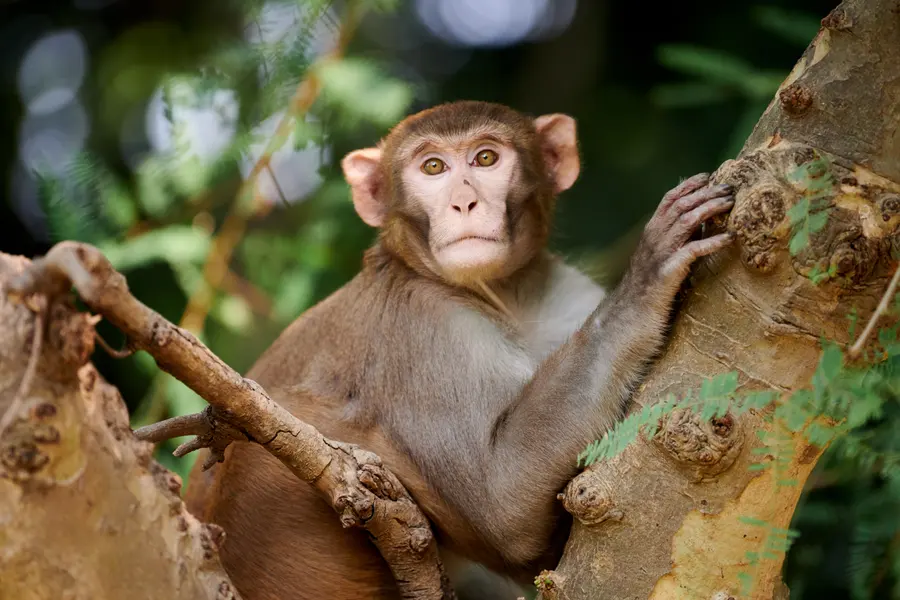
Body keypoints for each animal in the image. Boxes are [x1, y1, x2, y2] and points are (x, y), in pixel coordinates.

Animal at [184, 100, 735, 599]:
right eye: (433, 167)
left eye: (485, 158)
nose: (464, 203)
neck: (504, 298)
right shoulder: (419, 326)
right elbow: (501, 503)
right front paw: (647, 276)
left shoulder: (564, 292)